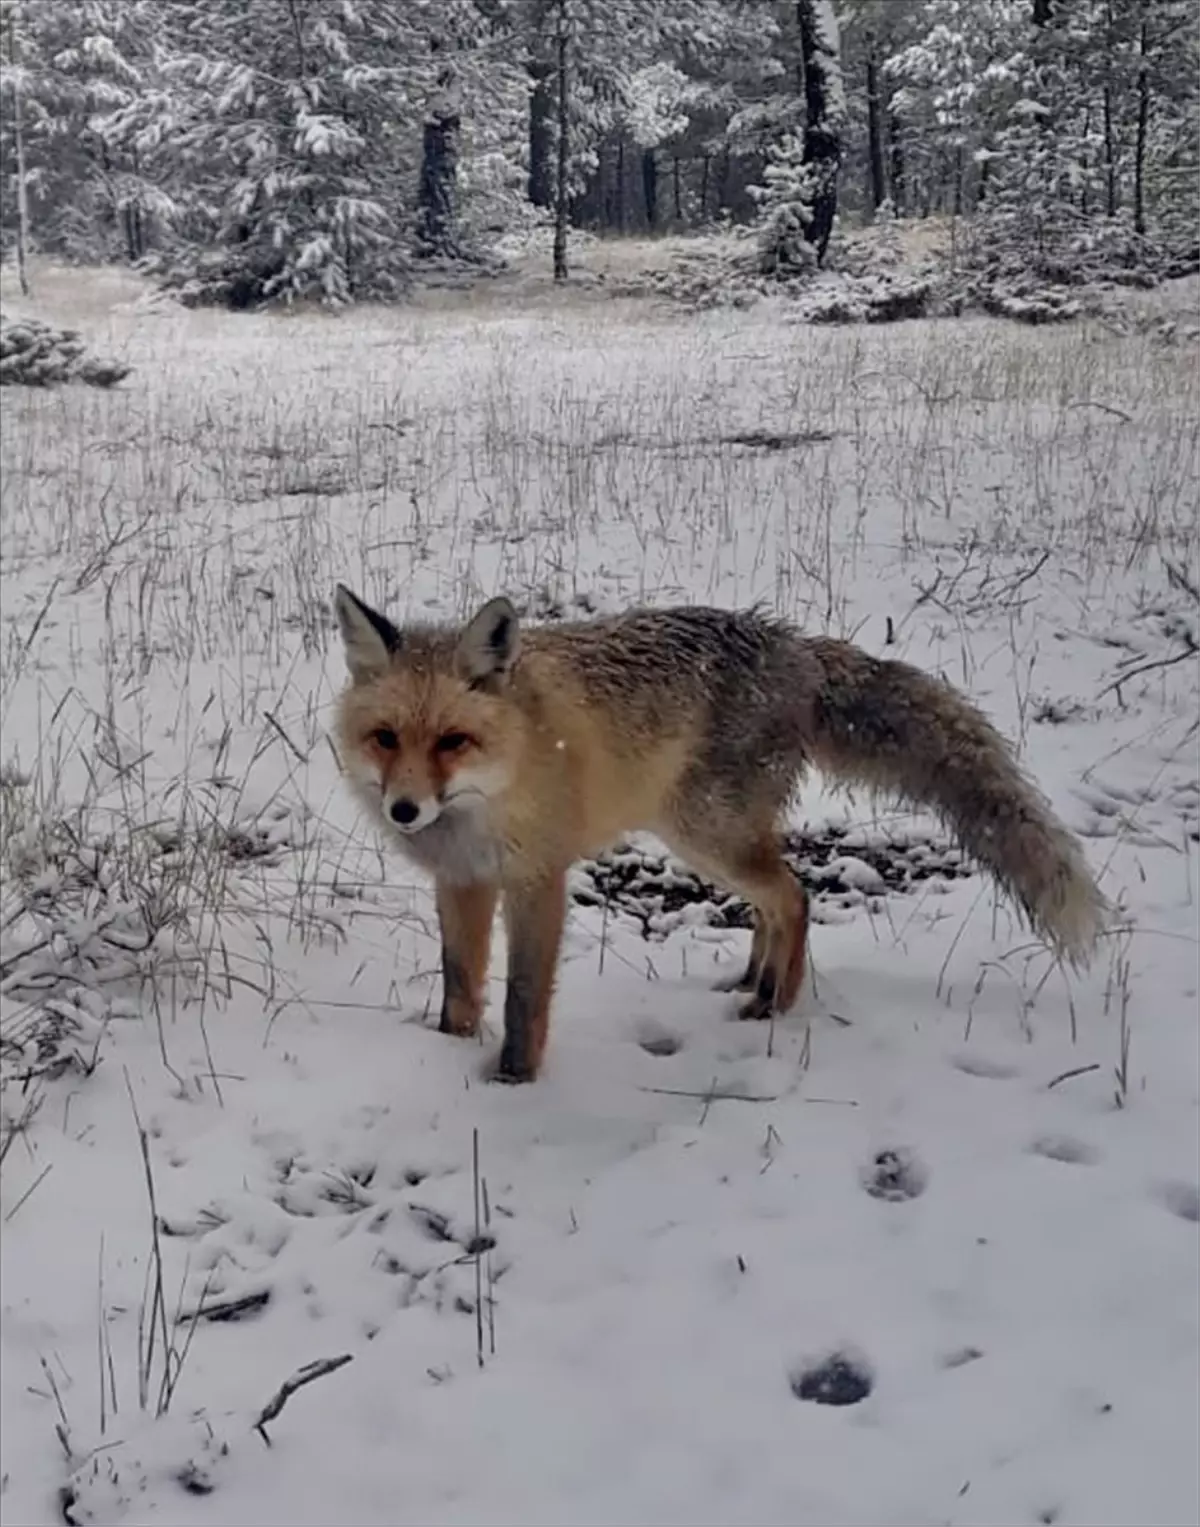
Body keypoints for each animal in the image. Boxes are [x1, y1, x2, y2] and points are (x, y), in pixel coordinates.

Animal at [331, 586, 1105, 1087]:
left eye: (453, 741)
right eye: (386, 738)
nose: (405, 810)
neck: (491, 795)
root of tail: (797, 647)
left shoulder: (536, 878)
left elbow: (523, 996)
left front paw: (514, 1081)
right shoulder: (462, 880)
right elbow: (460, 988)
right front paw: (448, 1054)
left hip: (705, 832)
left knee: (795, 894)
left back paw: (776, 1002)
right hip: (711, 838)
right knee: (775, 900)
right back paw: (755, 978)